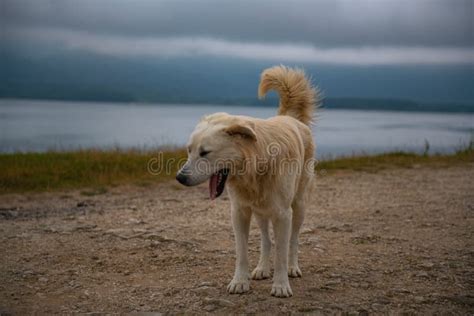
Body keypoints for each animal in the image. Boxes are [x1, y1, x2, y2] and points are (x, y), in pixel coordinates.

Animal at [175, 64, 318, 296]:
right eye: (189, 150)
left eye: (205, 153)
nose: (179, 178)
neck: (255, 167)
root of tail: (290, 118)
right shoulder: (240, 212)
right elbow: (241, 251)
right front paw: (240, 281)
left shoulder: (283, 214)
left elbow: (281, 252)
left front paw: (280, 285)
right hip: (260, 211)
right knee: (266, 240)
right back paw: (262, 268)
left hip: (299, 206)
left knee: (293, 240)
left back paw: (293, 267)